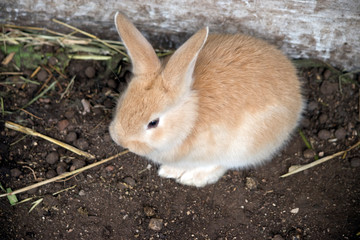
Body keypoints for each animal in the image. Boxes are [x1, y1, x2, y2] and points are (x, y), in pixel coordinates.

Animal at [109, 12, 304, 187]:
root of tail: (296, 92)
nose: (120, 140)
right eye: (123, 101)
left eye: (153, 123)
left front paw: (186, 176)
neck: (191, 119)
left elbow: (215, 165)